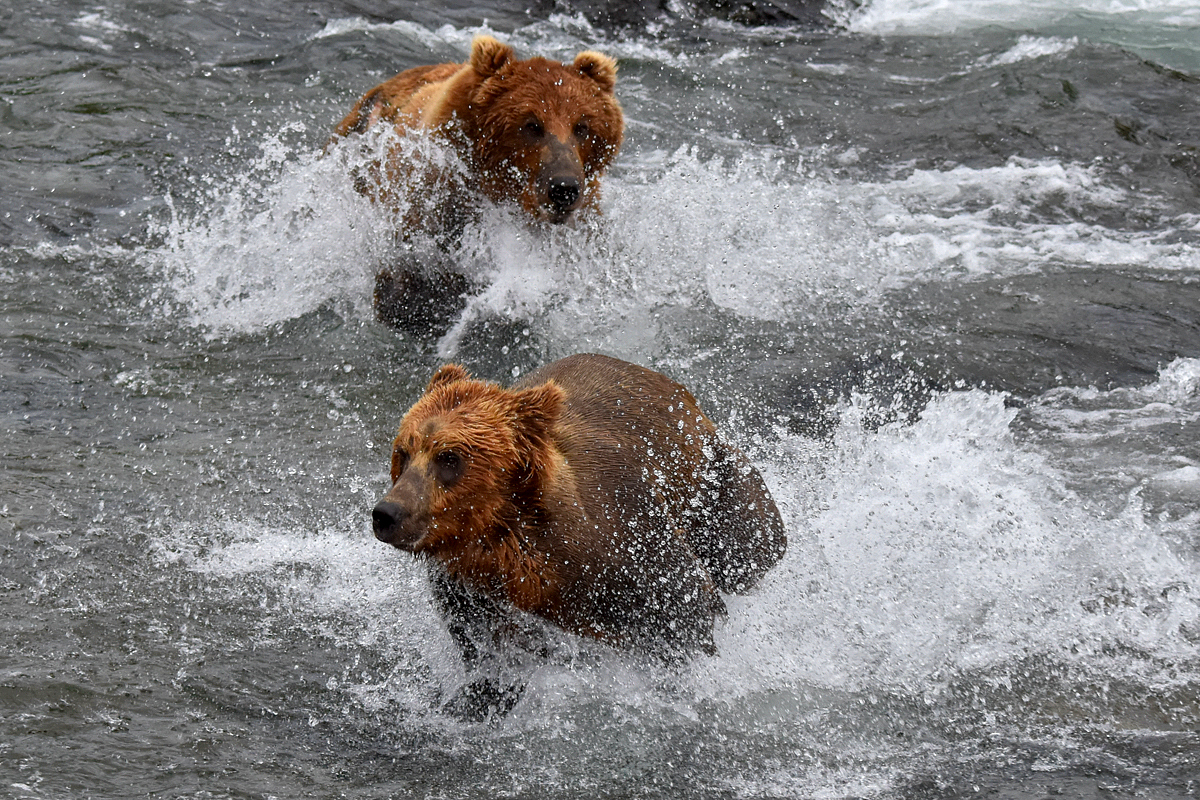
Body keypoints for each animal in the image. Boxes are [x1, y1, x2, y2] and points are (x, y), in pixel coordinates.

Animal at [374, 355, 787, 719]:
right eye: (403, 451)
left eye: (449, 457)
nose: (387, 513)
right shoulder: (471, 589)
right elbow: (490, 654)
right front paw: (473, 699)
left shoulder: (629, 538)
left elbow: (684, 612)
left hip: (714, 484)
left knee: (748, 549)